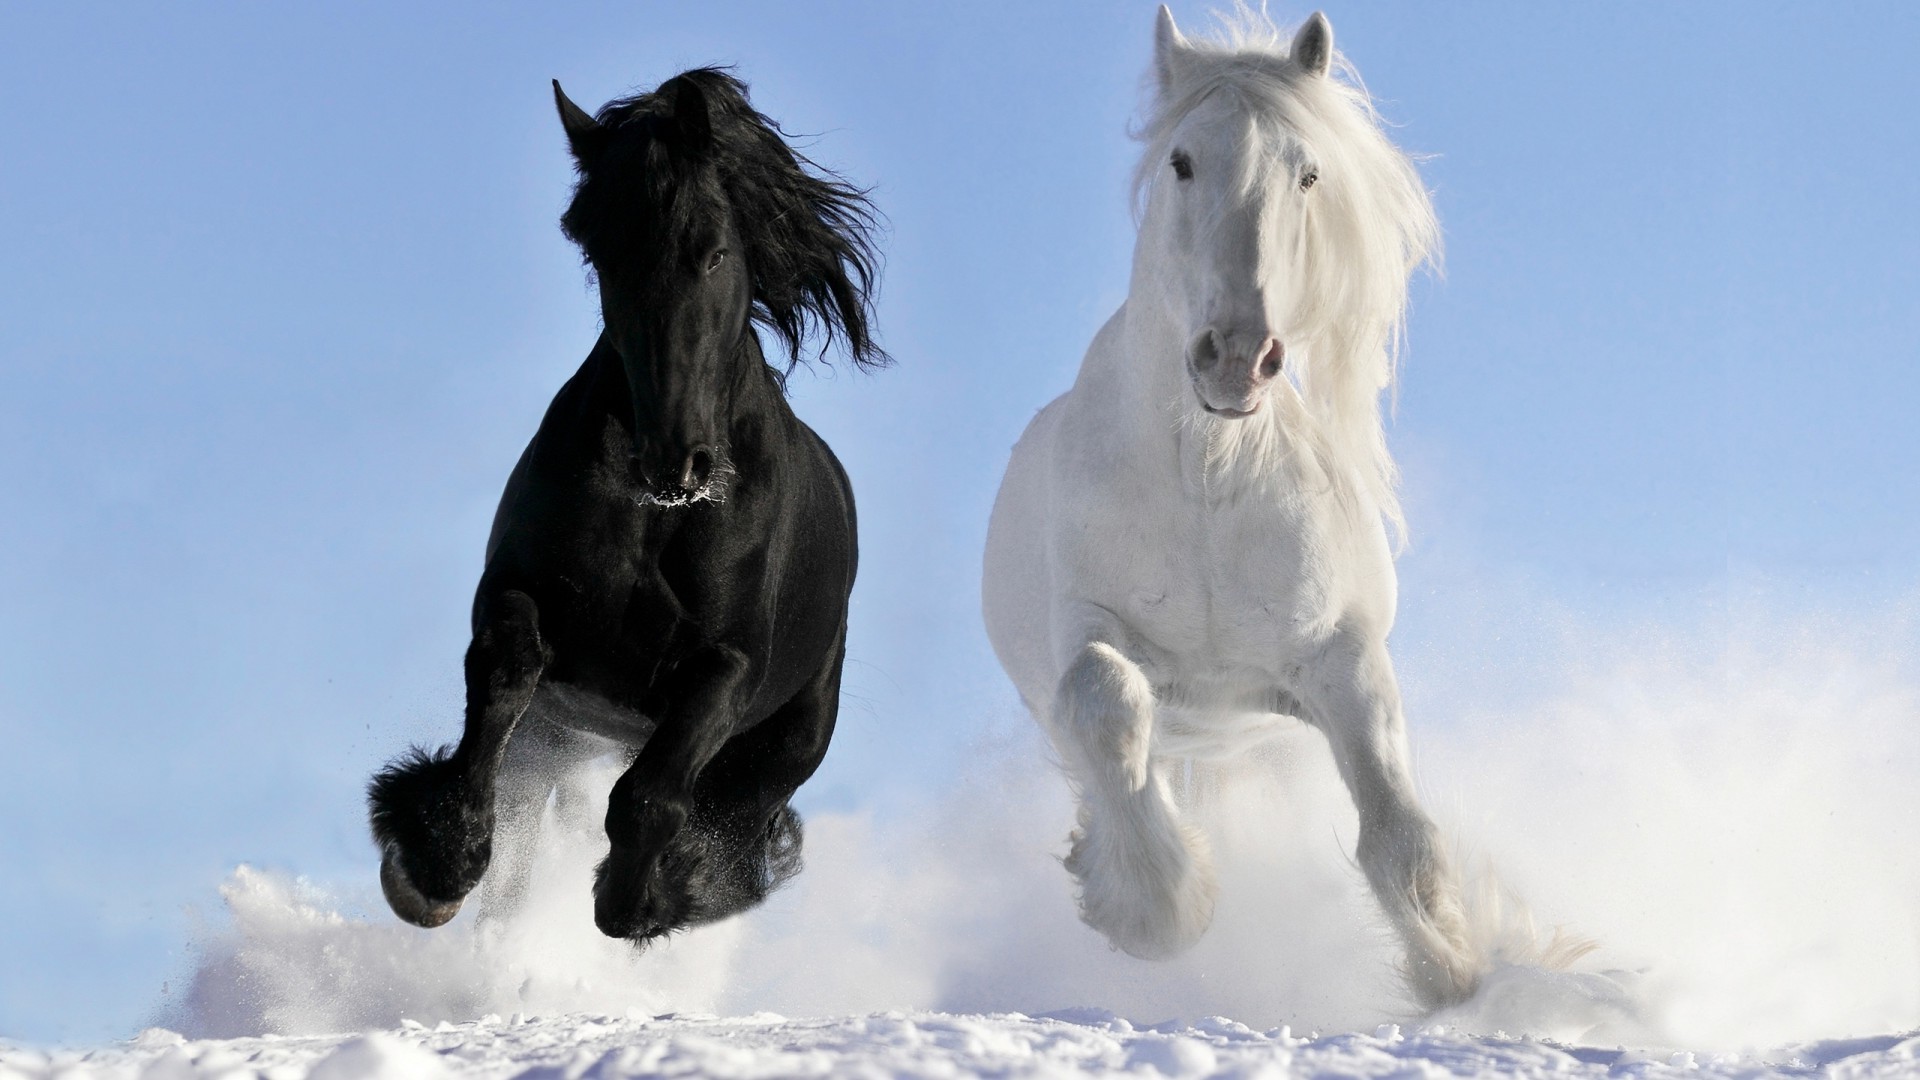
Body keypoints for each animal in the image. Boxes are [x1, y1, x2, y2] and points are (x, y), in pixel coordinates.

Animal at [366, 67, 883, 937]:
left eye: (713, 250)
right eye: (602, 253)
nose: (676, 458)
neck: (658, 518)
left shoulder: (727, 667)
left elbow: (650, 798)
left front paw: (643, 898)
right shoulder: (519, 596)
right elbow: (504, 674)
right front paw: (436, 863)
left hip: (784, 744)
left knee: (731, 824)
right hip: (556, 736)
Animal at [983, 4, 1474, 1006]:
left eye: (1308, 172)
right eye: (1181, 160)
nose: (1238, 356)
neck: (1210, 480)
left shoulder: (1342, 660)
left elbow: (1400, 835)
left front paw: (1463, 972)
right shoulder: (1087, 628)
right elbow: (1103, 698)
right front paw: (1160, 908)